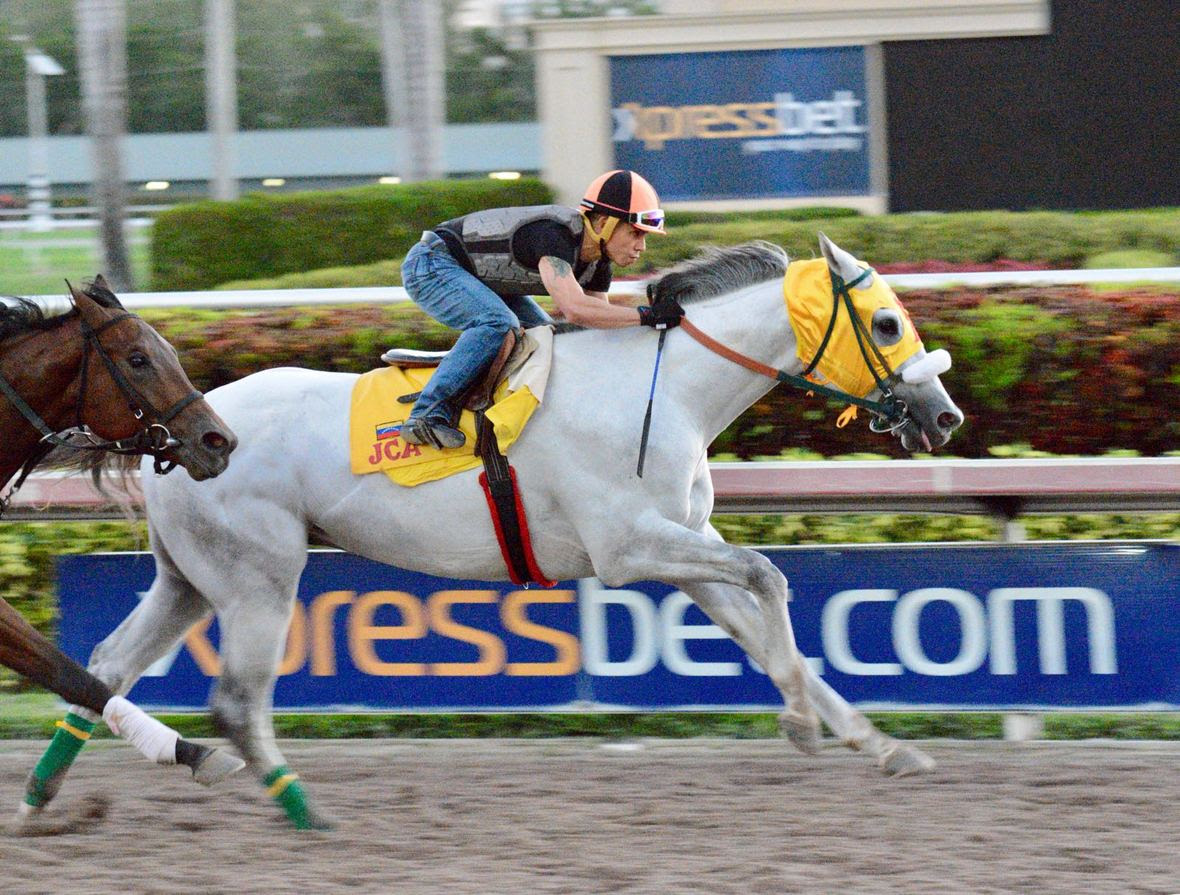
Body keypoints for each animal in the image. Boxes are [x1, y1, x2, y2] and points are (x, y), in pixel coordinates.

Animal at [0, 281, 241, 826]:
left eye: (169, 351)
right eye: (137, 359)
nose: (219, 441)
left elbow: (76, 676)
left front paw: (192, 751)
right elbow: (70, 674)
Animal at [32, 234, 962, 831]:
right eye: (886, 323)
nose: (944, 414)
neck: (664, 387)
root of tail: (176, 433)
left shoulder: (681, 551)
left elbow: (769, 630)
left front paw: (879, 743)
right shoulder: (630, 547)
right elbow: (769, 574)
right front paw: (804, 725)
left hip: (191, 578)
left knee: (106, 665)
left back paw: (44, 796)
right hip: (259, 575)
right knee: (232, 697)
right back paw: (301, 807)